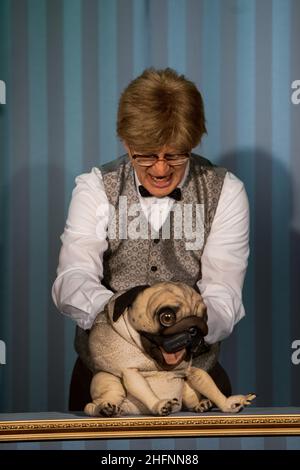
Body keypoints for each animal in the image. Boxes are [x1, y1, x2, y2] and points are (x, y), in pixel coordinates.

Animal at [84, 280, 255, 416]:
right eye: (167, 317)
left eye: (204, 318)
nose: (194, 329)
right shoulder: (130, 373)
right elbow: (143, 389)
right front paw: (159, 405)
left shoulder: (191, 371)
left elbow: (207, 383)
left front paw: (228, 404)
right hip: (109, 382)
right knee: (93, 404)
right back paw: (105, 409)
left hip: (186, 390)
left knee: (191, 399)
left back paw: (202, 405)